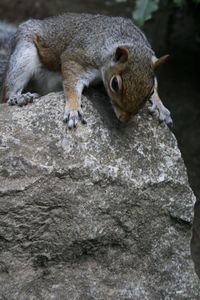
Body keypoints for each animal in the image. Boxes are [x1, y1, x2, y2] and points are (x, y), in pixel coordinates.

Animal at [0, 13, 172, 128]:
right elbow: (71, 81)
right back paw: (19, 97)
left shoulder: (152, 60)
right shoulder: (78, 57)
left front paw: (160, 106)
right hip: (23, 53)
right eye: (115, 84)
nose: (123, 119)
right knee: (10, 89)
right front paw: (73, 109)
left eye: (150, 91)